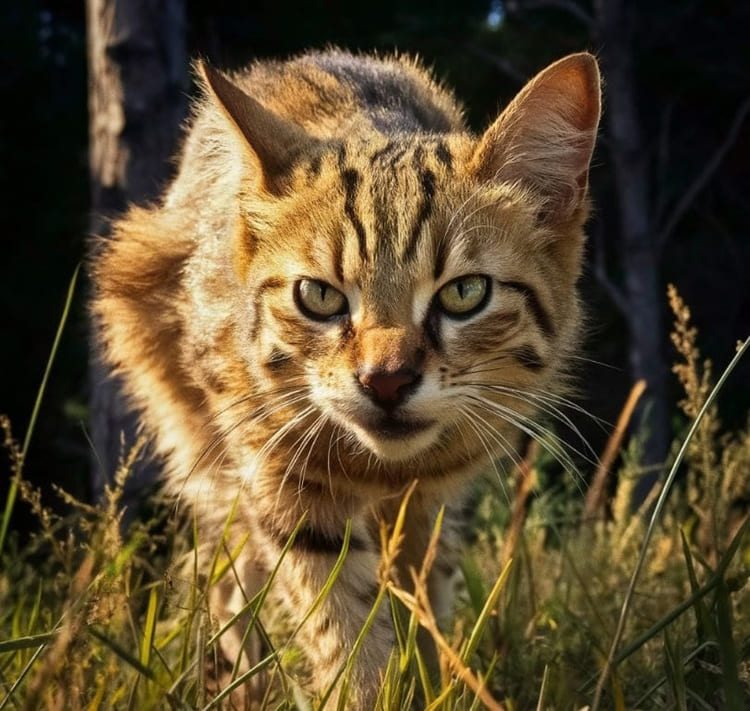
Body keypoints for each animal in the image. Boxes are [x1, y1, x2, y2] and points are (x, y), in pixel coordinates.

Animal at [91, 47, 604, 708]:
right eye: (318, 297)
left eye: (465, 293)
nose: (385, 381)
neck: (382, 468)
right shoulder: (279, 472)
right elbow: (341, 617)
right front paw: (367, 689)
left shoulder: (431, 499)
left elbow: (418, 597)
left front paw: (423, 677)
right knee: (225, 580)